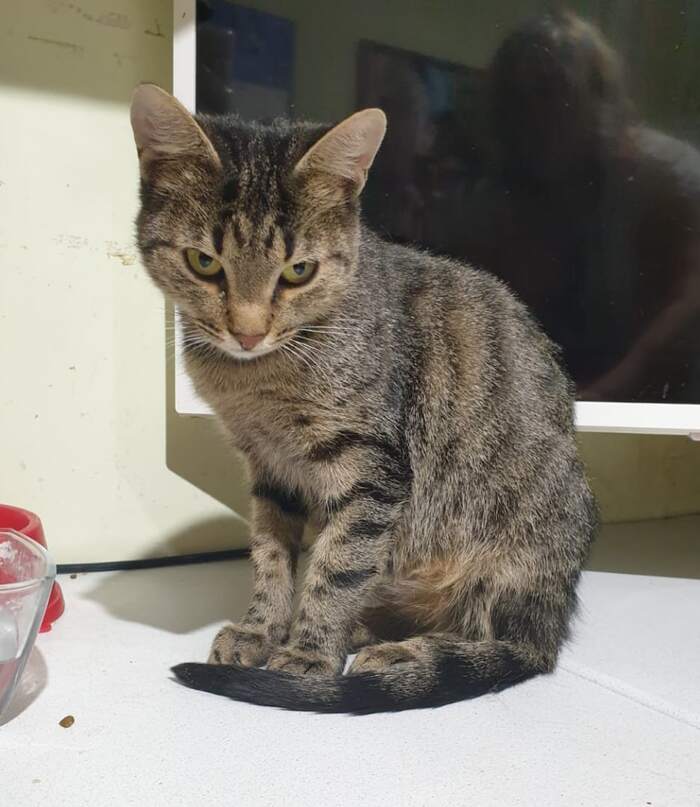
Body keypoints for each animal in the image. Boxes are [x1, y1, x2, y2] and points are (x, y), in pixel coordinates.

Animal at [130, 84, 598, 713]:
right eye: (204, 262)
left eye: (298, 271)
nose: (248, 332)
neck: (255, 381)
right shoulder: (268, 469)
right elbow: (271, 557)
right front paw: (261, 630)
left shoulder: (371, 469)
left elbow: (337, 567)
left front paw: (307, 656)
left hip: (510, 559)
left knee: (500, 642)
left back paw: (400, 654)